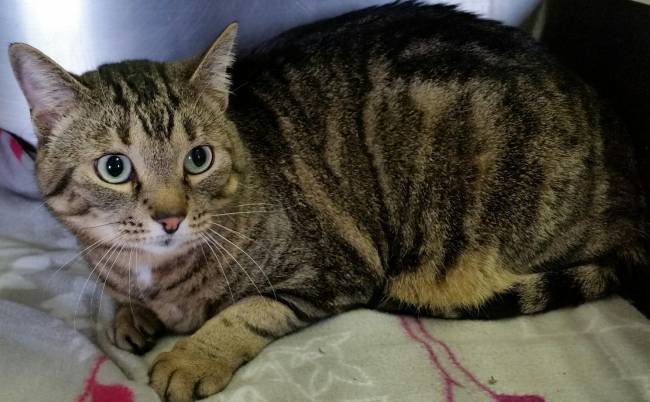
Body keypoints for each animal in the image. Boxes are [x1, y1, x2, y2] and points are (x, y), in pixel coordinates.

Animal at [9, 2, 649, 402]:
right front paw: (131, 315)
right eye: (114, 168)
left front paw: (191, 356)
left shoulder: (334, 269)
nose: (171, 217)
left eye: (199, 158)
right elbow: (123, 299)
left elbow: (247, 310)